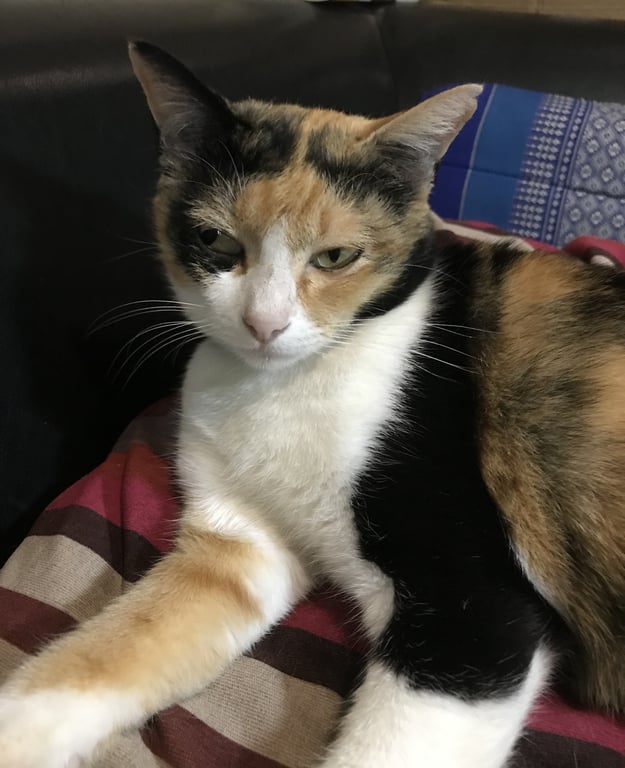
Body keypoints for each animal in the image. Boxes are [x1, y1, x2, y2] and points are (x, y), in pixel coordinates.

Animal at [2, 40, 625, 768]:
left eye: (335, 256)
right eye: (216, 242)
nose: (264, 323)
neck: (279, 387)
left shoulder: (472, 612)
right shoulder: (239, 546)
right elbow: (104, 652)